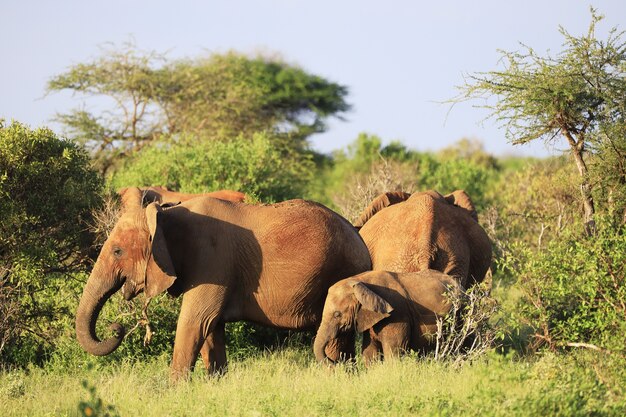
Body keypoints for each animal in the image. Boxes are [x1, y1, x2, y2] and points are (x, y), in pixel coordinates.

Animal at [77, 187, 370, 378]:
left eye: (118, 251)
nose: (116, 329)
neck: (166, 215)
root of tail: (360, 238)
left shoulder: (211, 260)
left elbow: (194, 321)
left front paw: (174, 392)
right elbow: (210, 328)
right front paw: (214, 384)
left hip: (341, 271)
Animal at [312, 270, 458, 364]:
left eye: (337, 314)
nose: (336, 363)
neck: (361, 280)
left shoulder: (397, 315)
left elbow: (394, 353)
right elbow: (369, 353)